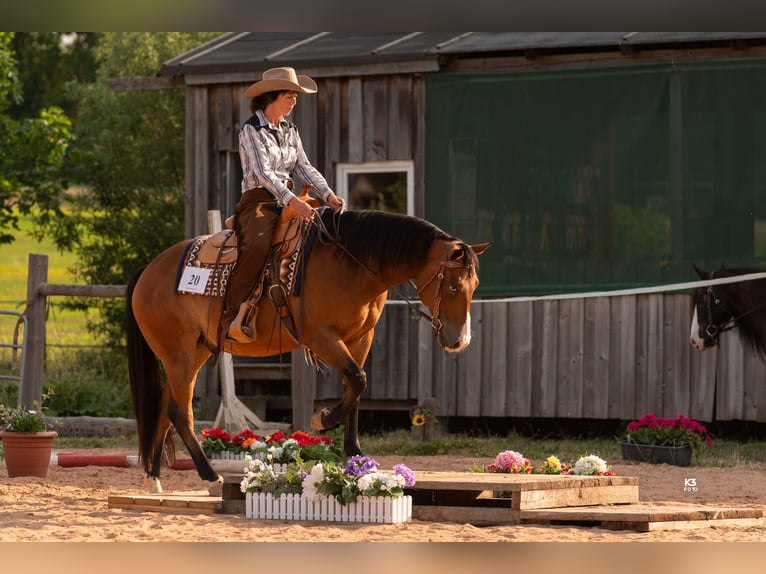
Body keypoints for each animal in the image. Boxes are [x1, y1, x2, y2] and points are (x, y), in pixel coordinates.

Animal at [126, 206, 490, 494]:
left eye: (475, 285)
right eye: (453, 286)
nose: (460, 341)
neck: (352, 264)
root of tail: (147, 270)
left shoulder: (360, 338)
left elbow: (356, 388)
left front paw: (355, 452)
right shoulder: (321, 338)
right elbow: (358, 380)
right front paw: (323, 418)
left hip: (194, 352)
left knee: (164, 409)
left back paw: (153, 477)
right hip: (180, 355)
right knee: (179, 413)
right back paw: (210, 476)